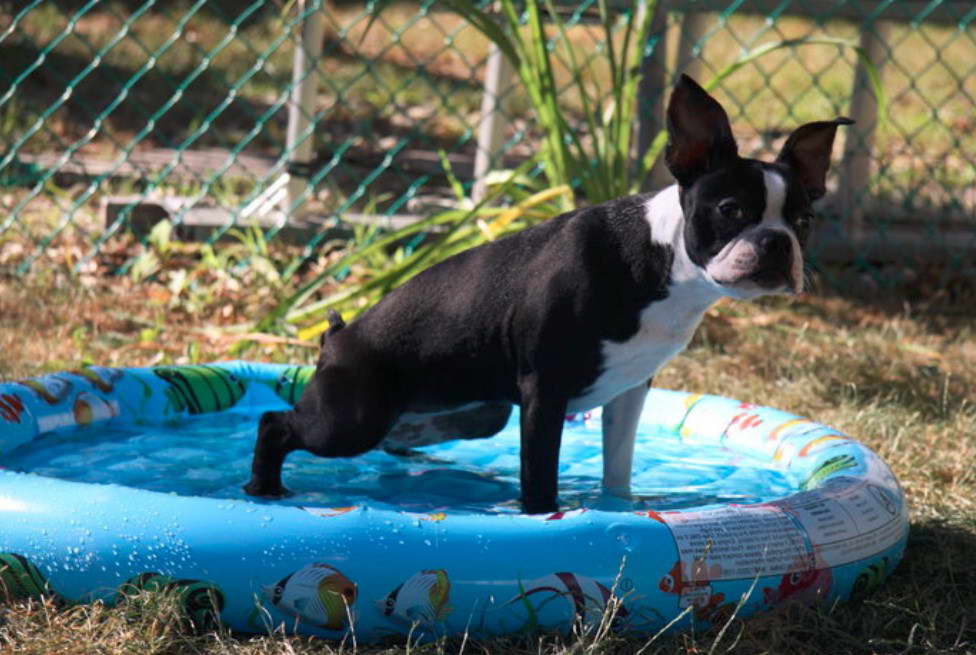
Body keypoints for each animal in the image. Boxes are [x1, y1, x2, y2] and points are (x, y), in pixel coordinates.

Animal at [246, 74, 856, 516]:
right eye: (731, 211)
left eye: (803, 221)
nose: (776, 242)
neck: (663, 262)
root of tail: (337, 337)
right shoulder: (546, 389)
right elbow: (539, 472)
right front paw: (543, 518)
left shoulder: (629, 389)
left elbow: (618, 465)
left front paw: (620, 508)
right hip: (351, 418)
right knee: (277, 423)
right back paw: (263, 489)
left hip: (475, 411)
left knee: (399, 434)